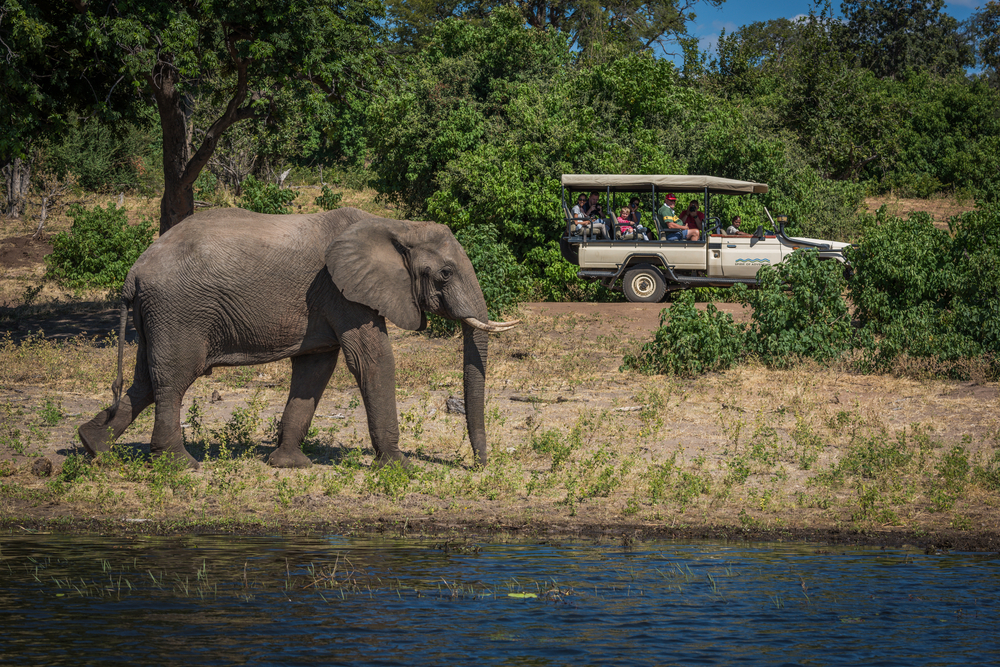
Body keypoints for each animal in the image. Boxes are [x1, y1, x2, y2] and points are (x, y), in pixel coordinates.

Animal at [74, 207, 520, 470]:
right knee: (173, 379)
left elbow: (316, 368)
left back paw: (93, 447)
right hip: (178, 310)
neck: (396, 225)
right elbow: (372, 360)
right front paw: (398, 468)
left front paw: (288, 464)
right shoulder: (342, 290)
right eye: (445, 273)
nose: (480, 466)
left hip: (158, 315)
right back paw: (179, 465)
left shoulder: (327, 301)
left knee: (145, 380)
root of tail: (134, 272)